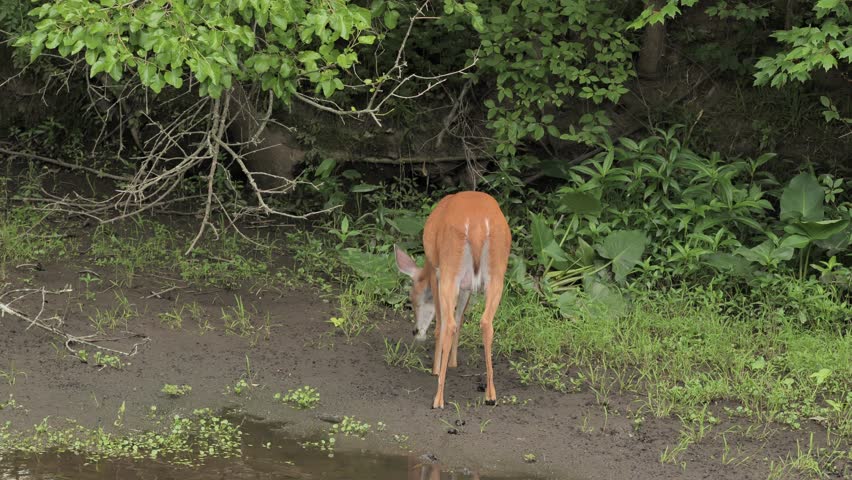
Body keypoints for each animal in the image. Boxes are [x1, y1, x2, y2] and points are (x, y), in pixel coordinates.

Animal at [394, 191, 511, 409]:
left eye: (412, 299)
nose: (415, 331)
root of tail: (477, 227)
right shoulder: (467, 285)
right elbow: (461, 317)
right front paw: (452, 362)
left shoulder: (437, 273)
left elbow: (441, 323)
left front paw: (437, 368)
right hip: (497, 273)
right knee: (486, 322)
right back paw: (491, 395)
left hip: (450, 266)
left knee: (448, 324)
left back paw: (438, 399)